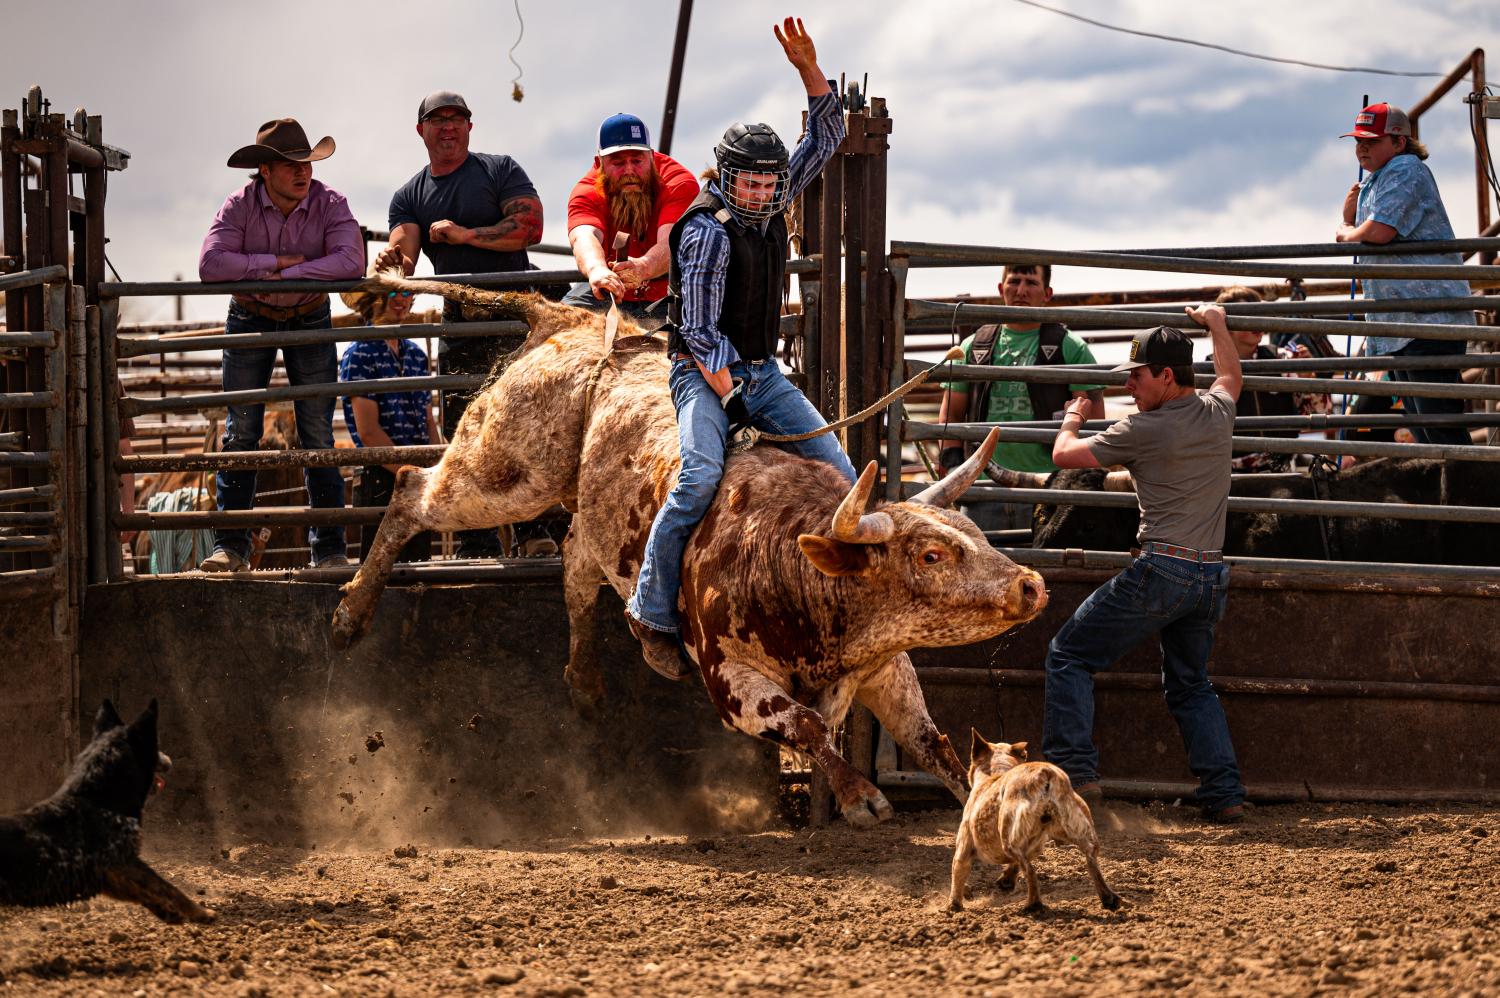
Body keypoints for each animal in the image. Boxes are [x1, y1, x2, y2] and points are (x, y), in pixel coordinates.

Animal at [334, 274, 1050, 822]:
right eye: (930, 555)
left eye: (977, 536)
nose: (1031, 585)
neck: (792, 564)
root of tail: (569, 318)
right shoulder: (731, 682)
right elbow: (810, 726)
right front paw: (858, 797)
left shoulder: (883, 666)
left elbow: (932, 742)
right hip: (507, 473)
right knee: (412, 488)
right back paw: (349, 615)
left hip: (578, 508)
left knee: (576, 563)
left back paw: (586, 683)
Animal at [948, 729, 1116, 912]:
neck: (995, 772)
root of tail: (1045, 773)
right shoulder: (1034, 847)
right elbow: (1015, 865)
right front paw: (1006, 880)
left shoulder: (963, 850)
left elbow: (957, 876)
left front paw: (953, 906)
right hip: (1079, 827)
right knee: (1091, 860)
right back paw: (1109, 898)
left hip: (1009, 837)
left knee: (1030, 871)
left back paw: (1033, 905)